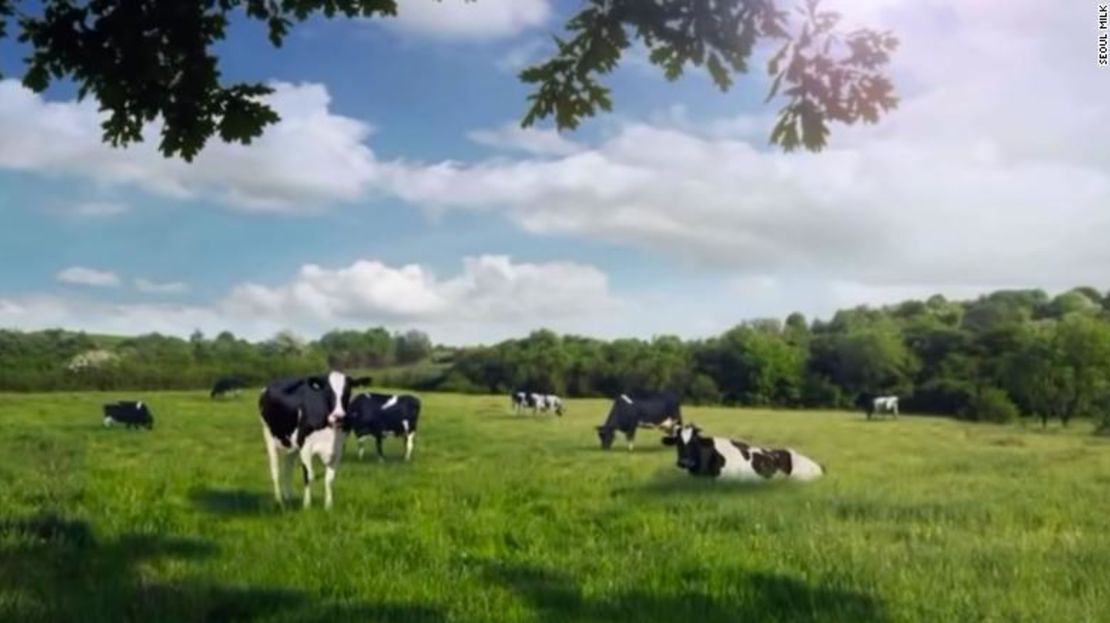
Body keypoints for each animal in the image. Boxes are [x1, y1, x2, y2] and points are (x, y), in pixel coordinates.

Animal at [257, 370, 370, 508]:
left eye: (348, 390)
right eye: (327, 391)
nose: (339, 417)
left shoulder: (338, 449)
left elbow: (329, 479)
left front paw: (328, 505)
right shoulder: (306, 447)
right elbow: (308, 476)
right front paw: (307, 504)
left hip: (292, 445)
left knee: (288, 468)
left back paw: (288, 497)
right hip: (268, 435)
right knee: (275, 470)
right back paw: (279, 499)